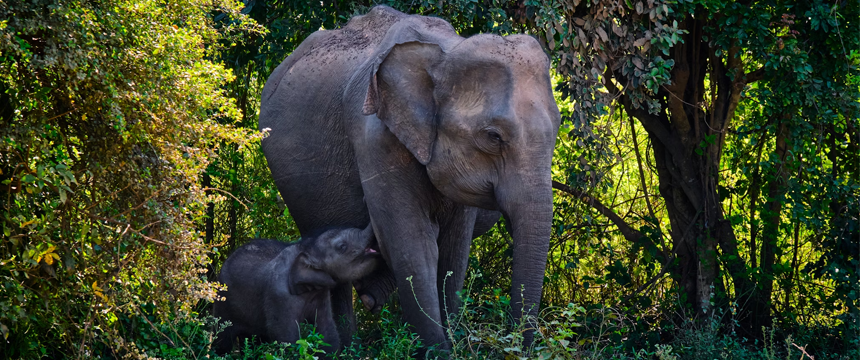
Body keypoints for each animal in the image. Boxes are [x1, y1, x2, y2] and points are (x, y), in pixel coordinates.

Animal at [212, 225, 380, 354]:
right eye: (342, 247)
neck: (307, 249)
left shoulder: (321, 293)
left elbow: (327, 330)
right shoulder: (279, 297)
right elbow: (286, 336)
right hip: (223, 302)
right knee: (222, 339)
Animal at [258, 5, 560, 348]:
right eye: (493, 137)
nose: (517, 343)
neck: (445, 52)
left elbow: (454, 250)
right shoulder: (376, 138)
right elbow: (414, 244)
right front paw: (439, 350)